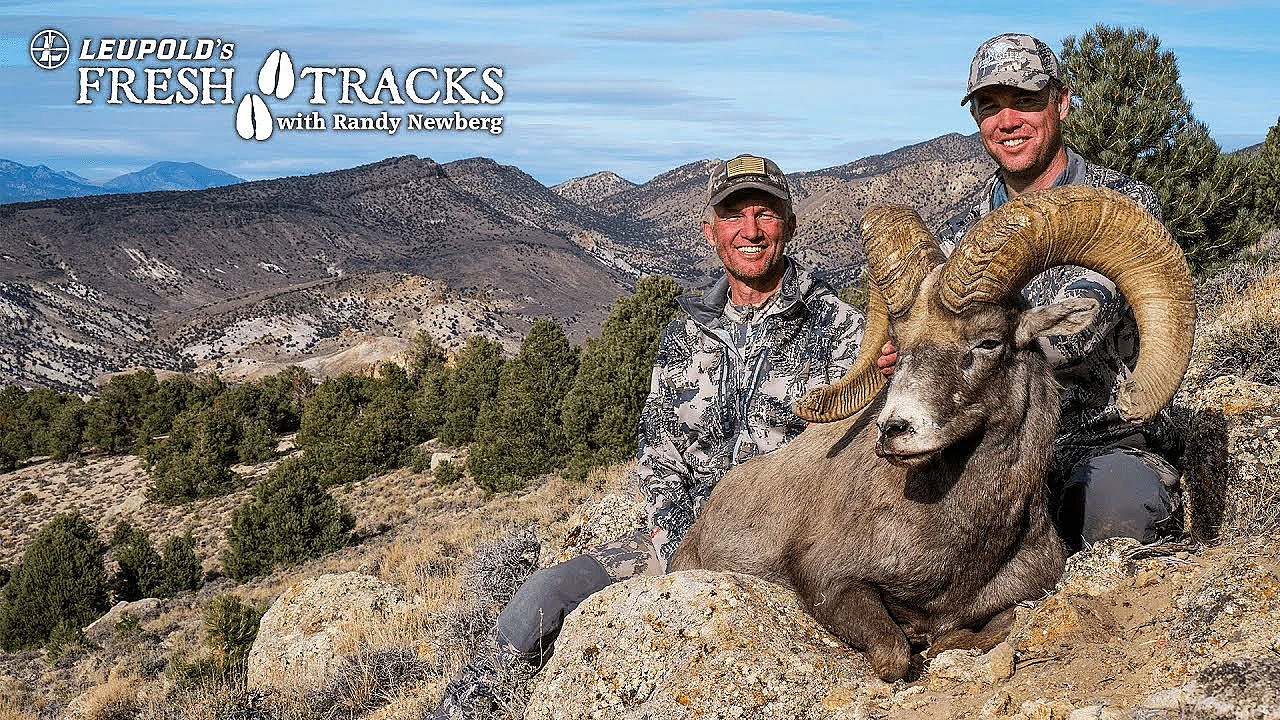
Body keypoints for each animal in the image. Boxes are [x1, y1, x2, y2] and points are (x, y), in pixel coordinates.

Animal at [669, 185, 1195, 682]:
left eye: (989, 341)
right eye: (898, 345)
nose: (894, 430)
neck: (960, 546)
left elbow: (991, 626)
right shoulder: (831, 583)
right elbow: (895, 655)